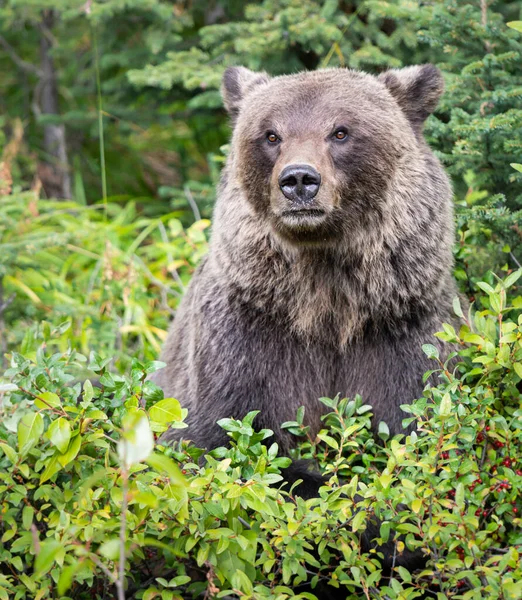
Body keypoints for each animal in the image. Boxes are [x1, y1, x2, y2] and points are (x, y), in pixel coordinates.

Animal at [152, 63, 452, 460]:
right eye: (271, 135)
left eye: (340, 131)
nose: (298, 179)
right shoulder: (242, 337)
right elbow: (215, 436)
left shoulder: (404, 327)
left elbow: (413, 418)